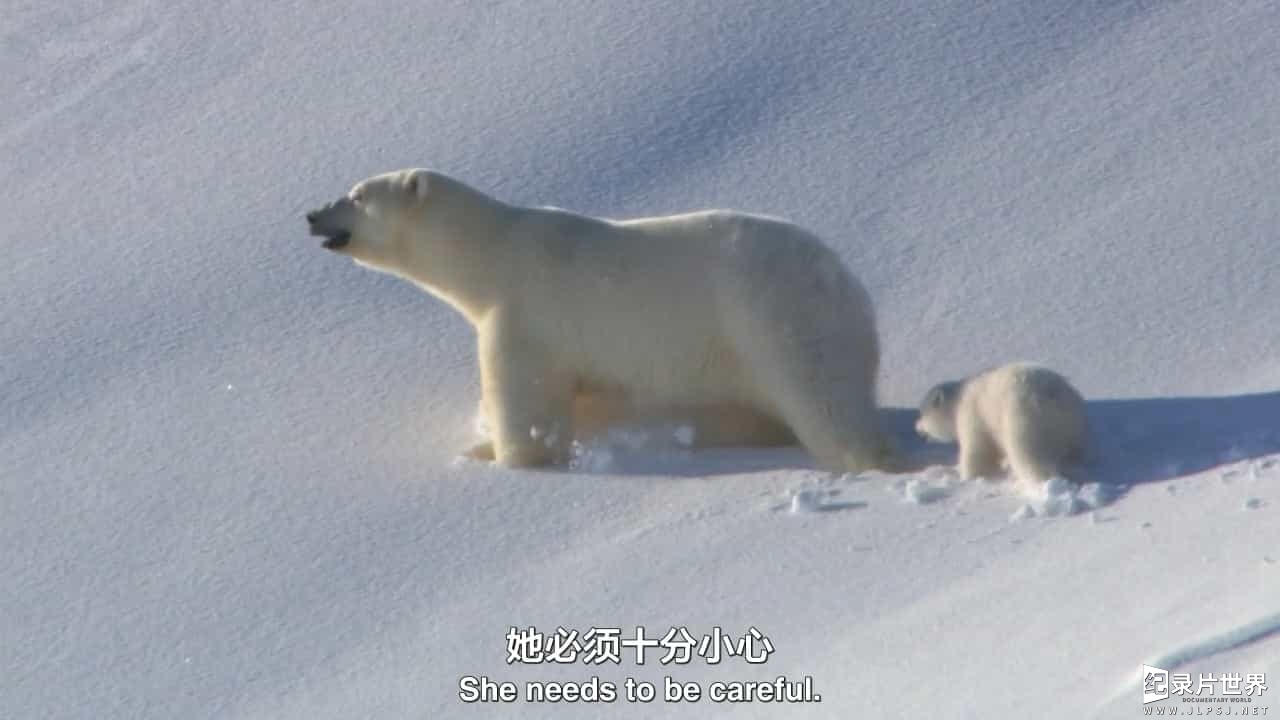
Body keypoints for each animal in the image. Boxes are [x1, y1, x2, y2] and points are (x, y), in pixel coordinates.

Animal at [305, 167, 901, 471]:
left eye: (356, 195)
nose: (312, 214)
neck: (492, 253)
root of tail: (844, 282)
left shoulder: (525, 315)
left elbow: (527, 402)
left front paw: (507, 458)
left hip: (772, 320)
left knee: (822, 400)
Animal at [916, 361, 1085, 484]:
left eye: (922, 413)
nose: (917, 427)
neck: (960, 399)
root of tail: (1052, 396)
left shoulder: (973, 415)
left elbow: (978, 450)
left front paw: (967, 476)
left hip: (1023, 418)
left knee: (1027, 454)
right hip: (1072, 427)